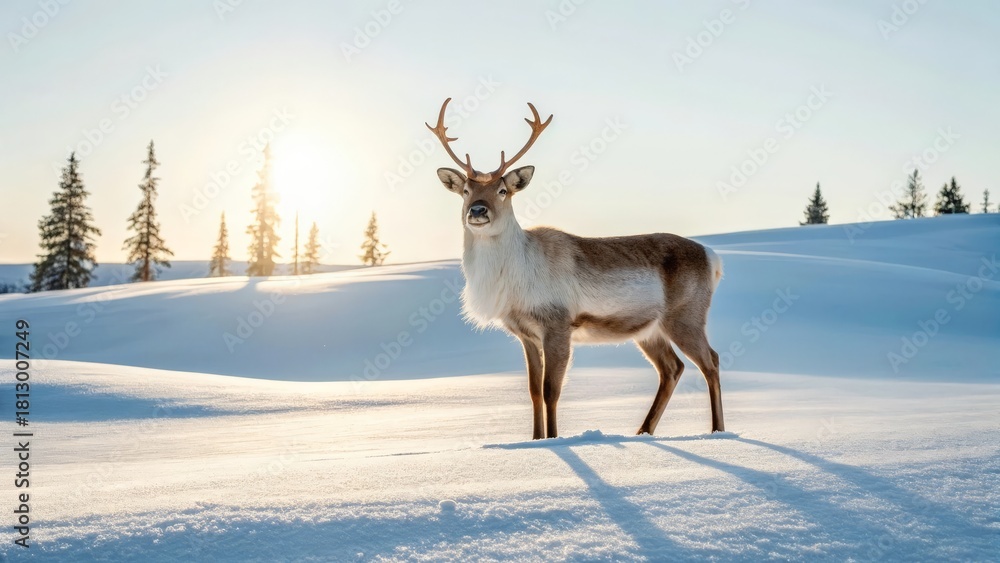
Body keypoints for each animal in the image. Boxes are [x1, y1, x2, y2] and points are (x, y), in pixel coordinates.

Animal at [426, 98, 725, 440]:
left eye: (503, 190)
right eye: (465, 190)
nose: (477, 210)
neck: (511, 277)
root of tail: (713, 258)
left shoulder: (558, 324)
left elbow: (551, 390)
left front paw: (554, 439)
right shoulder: (525, 334)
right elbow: (533, 391)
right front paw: (535, 440)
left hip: (686, 316)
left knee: (711, 361)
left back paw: (718, 431)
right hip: (650, 329)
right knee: (672, 368)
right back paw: (643, 431)